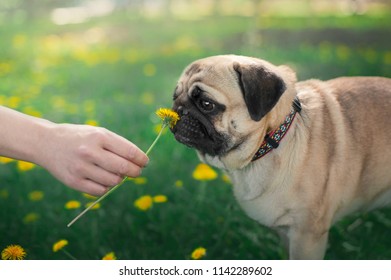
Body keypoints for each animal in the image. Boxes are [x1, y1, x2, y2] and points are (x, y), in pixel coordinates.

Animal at [172, 54, 391, 260]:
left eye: (206, 104)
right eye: (175, 96)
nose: (178, 110)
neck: (272, 139)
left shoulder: (307, 236)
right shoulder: (287, 234)